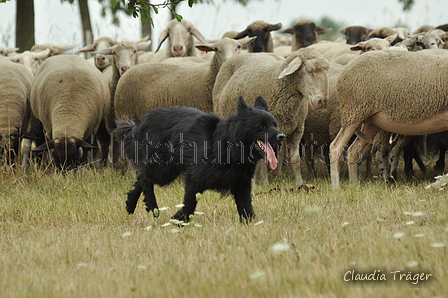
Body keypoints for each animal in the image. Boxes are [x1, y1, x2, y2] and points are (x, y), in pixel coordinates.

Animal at [114, 36, 256, 123]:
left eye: (238, 47)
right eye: (216, 49)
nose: (229, 60)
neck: (207, 79)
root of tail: (128, 71)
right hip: (125, 115)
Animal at [114, 95, 284, 221]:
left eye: (274, 125)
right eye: (261, 126)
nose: (282, 136)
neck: (229, 146)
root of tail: (143, 121)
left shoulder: (242, 183)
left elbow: (246, 207)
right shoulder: (195, 178)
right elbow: (190, 202)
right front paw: (179, 220)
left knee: (142, 177)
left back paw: (131, 203)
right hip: (164, 170)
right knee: (145, 178)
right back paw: (153, 206)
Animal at [214, 47, 328, 182]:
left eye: (327, 70)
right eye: (310, 70)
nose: (322, 101)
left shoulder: (298, 129)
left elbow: (294, 157)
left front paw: (299, 181)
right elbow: (263, 158)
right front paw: (264, 182)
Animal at [328, 49, 448, 187]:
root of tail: (346, 68)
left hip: (371, 121)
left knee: (353, 150)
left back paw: (354, 185)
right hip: (353, 112)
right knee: (335, 147)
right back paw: (336, 187)